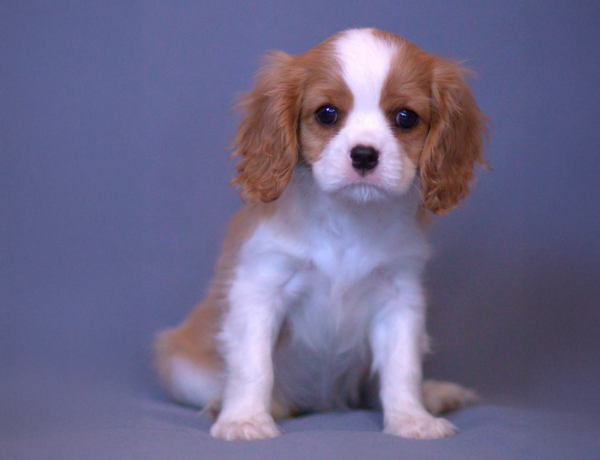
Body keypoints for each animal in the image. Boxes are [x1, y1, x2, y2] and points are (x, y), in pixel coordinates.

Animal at [155, 28, 487, 441]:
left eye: (406, 117)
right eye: (327, 114)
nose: (364, 155)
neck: (348, 216)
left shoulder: (399, 298)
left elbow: (402, 367)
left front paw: (411, 419)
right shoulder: (260, 287)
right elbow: (252, 365)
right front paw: (245, 419)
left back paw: (435, 394)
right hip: (180, 363)